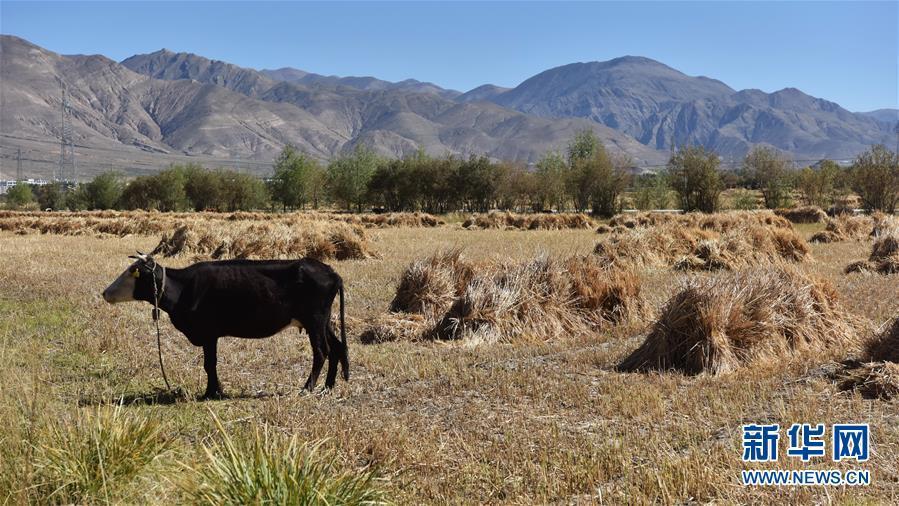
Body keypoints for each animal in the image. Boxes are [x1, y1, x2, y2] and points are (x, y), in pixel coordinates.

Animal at [102, 253, 348, 400]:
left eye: (132, 273)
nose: (105, 293)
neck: (183, 289)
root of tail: (330, 271)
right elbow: (210, 364)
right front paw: (216, 390)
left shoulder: (209, 334)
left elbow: (209, 364)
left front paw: (211, 393)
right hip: (323, 322)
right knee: (336, 348)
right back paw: (327, 387)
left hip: (315, 320)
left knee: (321, 351)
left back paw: (307, 388)